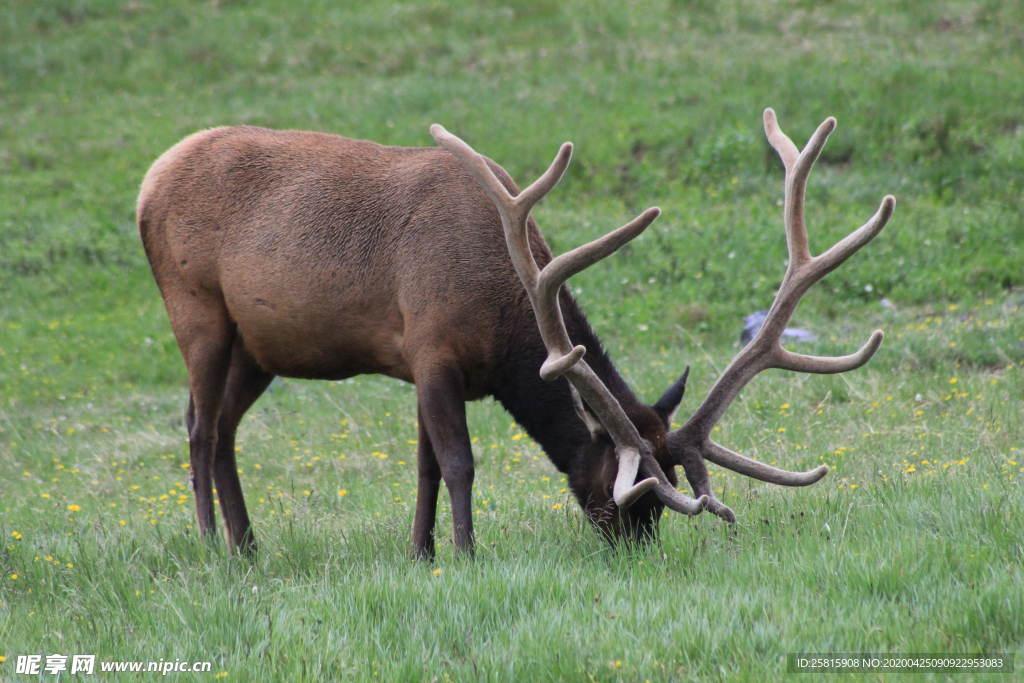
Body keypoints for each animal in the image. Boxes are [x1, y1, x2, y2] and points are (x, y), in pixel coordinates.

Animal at [140, 105, 892, 557]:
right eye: (623, 492)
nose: (636, 552)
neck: (505, 320)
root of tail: (150, 178)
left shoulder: (420, 362)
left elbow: (424, 465)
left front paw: (421, 553)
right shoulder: (432, 348)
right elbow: (458, 462)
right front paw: (465, 554)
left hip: (259, 345)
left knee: (225, 427)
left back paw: (247, 543)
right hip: (195, 307)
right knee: (199, 426)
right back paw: (209, 545)